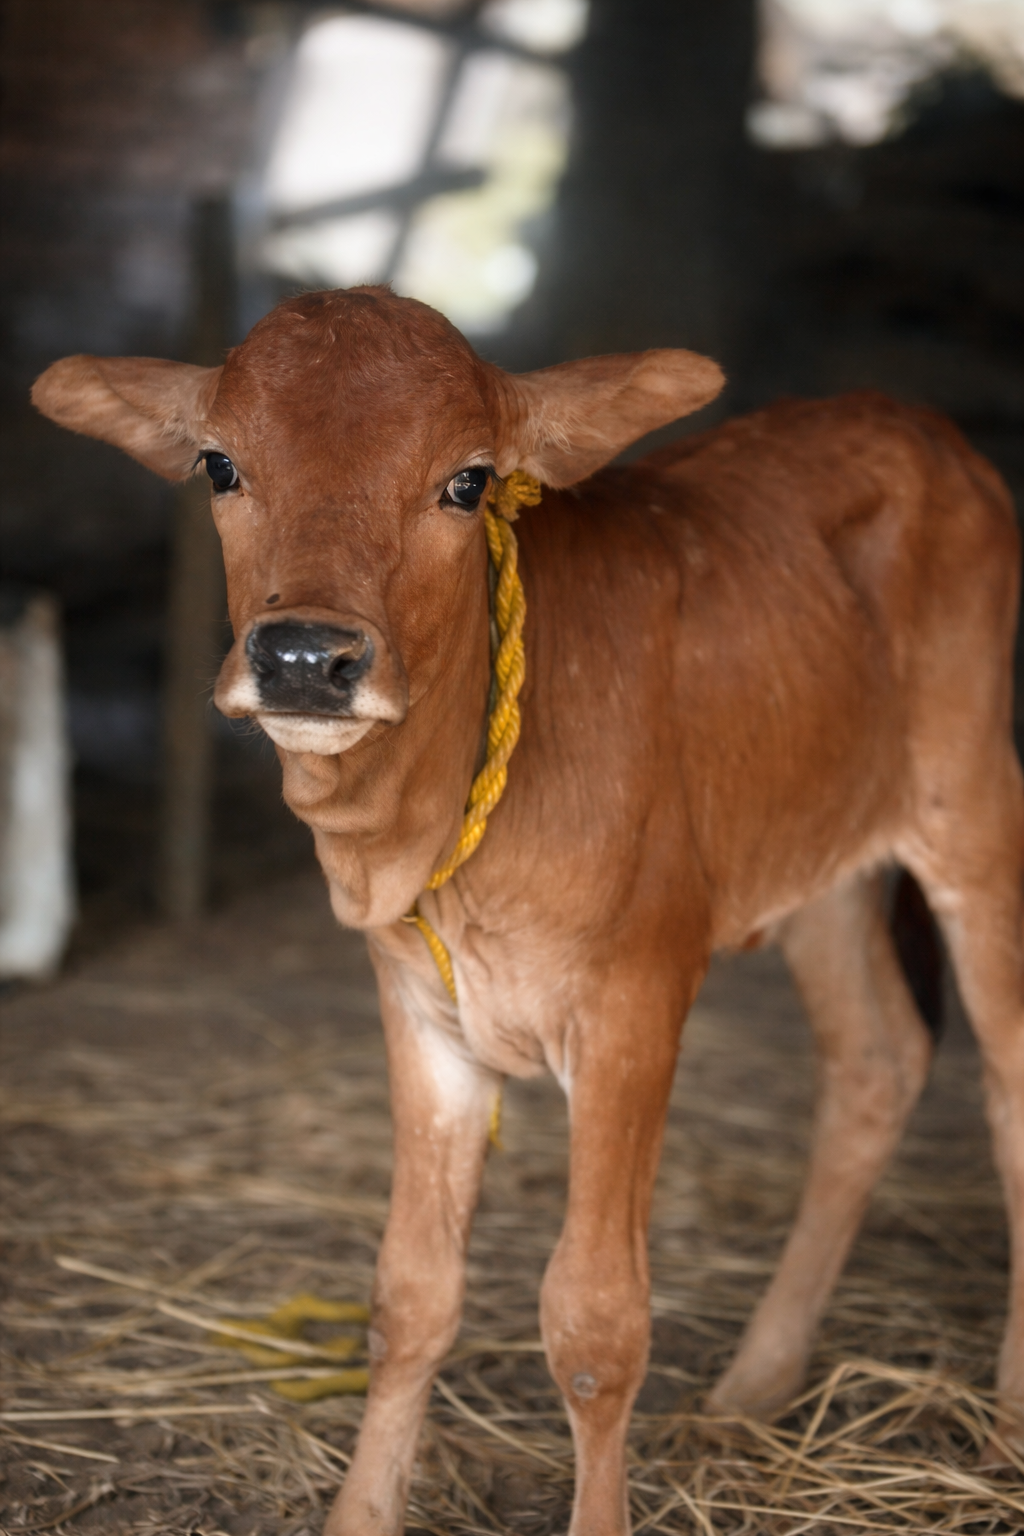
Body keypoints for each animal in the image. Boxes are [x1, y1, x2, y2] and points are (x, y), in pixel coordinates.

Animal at [32, 286, 1023, 1535]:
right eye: (219, 464)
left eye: (467, 482)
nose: (305, 657)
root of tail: (911, 419)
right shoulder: (421, 1018)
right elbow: (409, 1298)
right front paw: (360, 1513)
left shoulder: (634, 1005)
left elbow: (594, 1325)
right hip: (823, 867)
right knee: (876, 1061)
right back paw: (754, 1385)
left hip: (972, 804)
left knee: (1006, 1076)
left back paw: (1006, 1410)